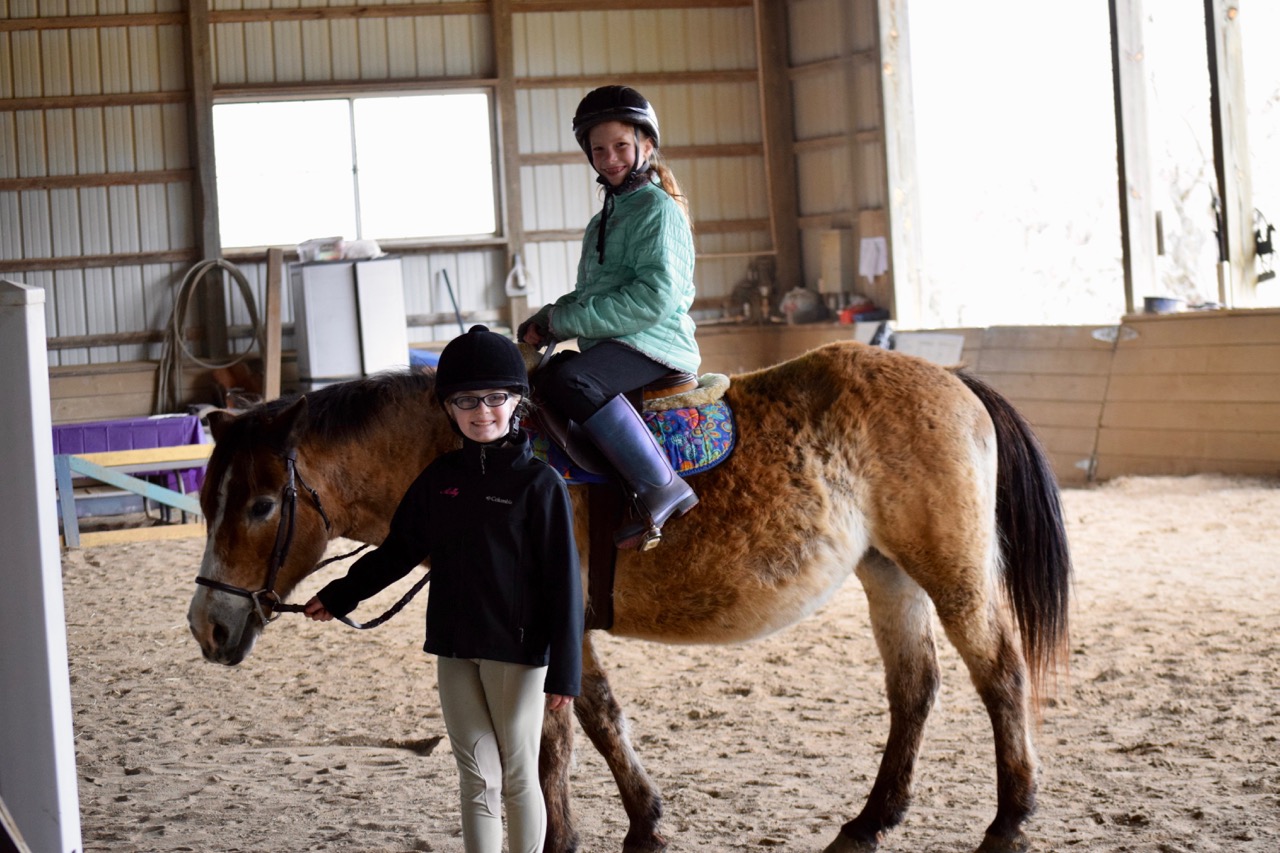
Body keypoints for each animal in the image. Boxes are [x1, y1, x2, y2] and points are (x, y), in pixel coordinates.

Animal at [187, 339, 1071, 853]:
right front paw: (645, 821)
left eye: (261, 504)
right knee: (914, 688)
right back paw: (870, 820)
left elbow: (555, 736)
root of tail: (949, 378)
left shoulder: (550, 624)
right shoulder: (567, 630)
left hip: (950, 570)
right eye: (204, 497)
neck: (491, 459)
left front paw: (568, 836)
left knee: (1000, 675)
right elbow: (600, 717)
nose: (208, 625)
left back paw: (1010, 819)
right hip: (889, 573)